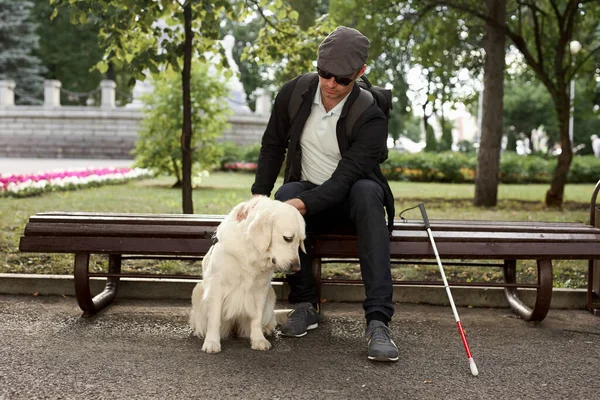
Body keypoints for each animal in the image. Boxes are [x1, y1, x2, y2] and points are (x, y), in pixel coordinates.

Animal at [191, 197, 308, 354]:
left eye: (301, 241)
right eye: (288, 238)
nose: (297, 268)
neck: (252, 252)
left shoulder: (261, 288)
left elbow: (256, 318)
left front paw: (258, 339)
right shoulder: (217, 285)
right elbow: (214, 318)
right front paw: (211, 342)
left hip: (271, 295)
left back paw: (265, 330)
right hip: (198, 290)